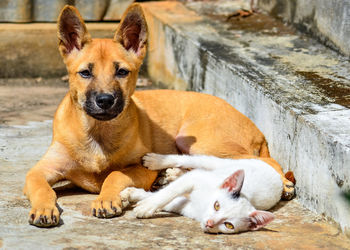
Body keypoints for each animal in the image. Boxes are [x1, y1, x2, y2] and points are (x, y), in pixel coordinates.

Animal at [121, 153, 284, 233]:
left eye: (229, 225)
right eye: (217, 205)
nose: (210, 223)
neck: (203, 204)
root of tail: (277, 174)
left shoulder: (186, 207)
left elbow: (173, 202)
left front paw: (137, 197)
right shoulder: (194, 179)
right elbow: (169, 192)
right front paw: (146, 205)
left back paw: (174, 174)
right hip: (220, 164)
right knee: (191, 160)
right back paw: (157, 161)